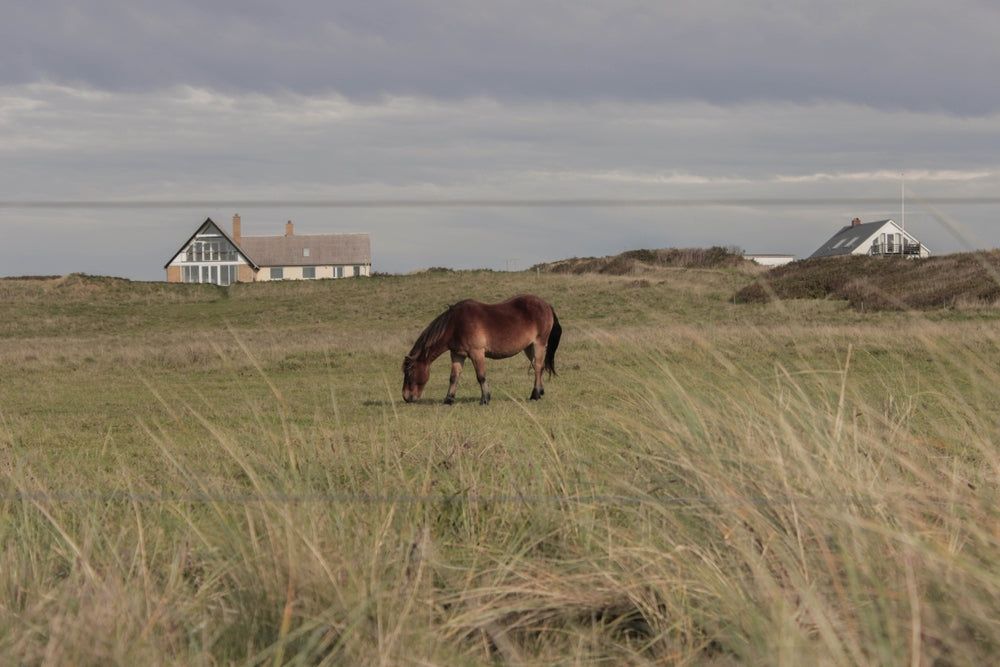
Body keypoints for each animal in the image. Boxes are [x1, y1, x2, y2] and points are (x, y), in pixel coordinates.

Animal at [402, 294, 561, 405]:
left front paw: (485, 399)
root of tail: (546, 305)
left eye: (409, 373)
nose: (406, 397)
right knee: (537, 366)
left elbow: (481, 376)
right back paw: (540, 391)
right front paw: (448, 399)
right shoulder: (457, 354)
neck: (455, 324)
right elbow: (454, 377)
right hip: (528, 347)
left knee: (538, 367)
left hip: (539, 344)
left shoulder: (476, 352)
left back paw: (534, 395)